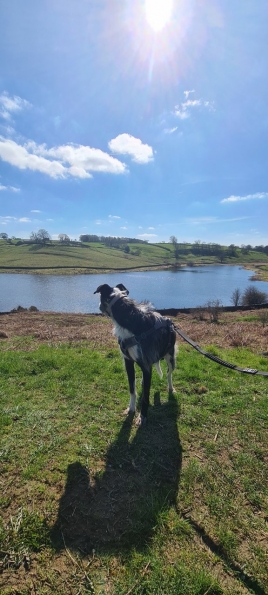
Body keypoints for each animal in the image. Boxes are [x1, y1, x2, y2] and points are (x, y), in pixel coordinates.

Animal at [93, 284, 177, 424]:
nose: (99, 306)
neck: (129, 317)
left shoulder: (146, 366)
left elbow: (146, 397)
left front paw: (142, 416)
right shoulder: (128, 362)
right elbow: (132, 389)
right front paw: (131, 409)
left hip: (170, 357)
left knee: (169, 374)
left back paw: (171, 388)